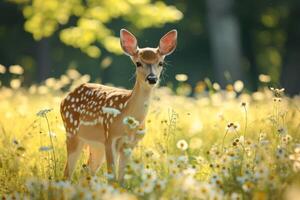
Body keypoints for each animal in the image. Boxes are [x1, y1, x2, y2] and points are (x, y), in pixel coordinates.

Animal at [61, 28, 178, 181]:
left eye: (161, 63)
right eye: (138, 63)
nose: (152, 78)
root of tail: (64, 99)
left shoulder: (131, 144)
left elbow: (121, 179)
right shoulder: (110, 137)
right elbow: (112, 178)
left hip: (95, 145)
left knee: (85, 172)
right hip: (72, 132)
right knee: (67, 173)